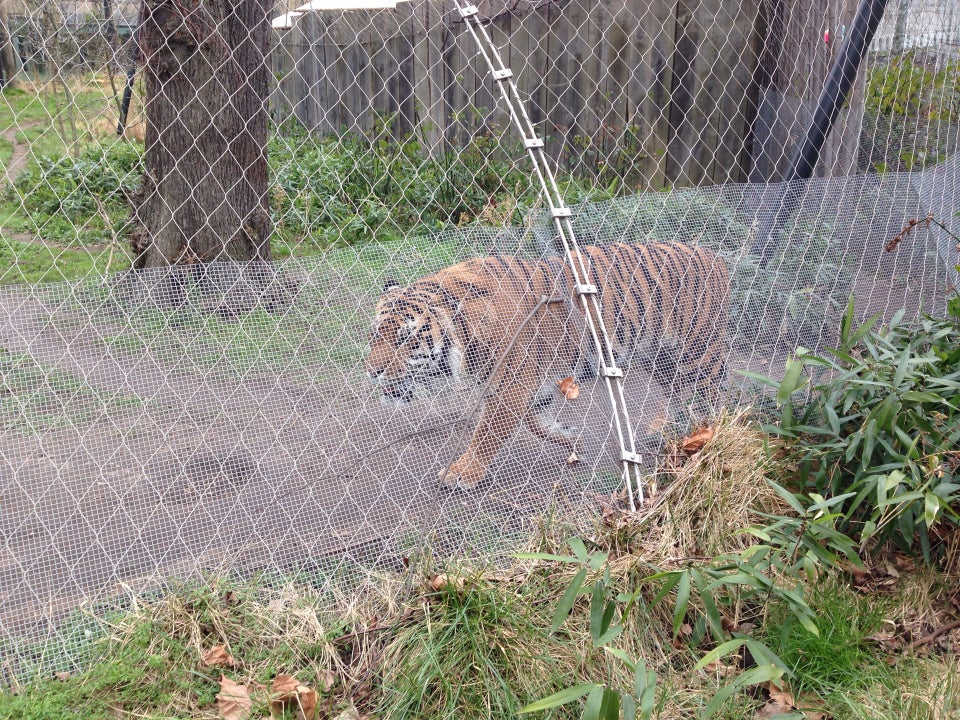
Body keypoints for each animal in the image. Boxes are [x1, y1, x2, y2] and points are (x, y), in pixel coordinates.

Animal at [366, 240, 728, 490]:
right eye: (374, 336)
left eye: (405, 339)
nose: (372, 373)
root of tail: (712, 255)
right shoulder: (522, 385)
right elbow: (536, 422)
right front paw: (570, 439)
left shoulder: (512, 383)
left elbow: (487, 434)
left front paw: (462, 474)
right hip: (663, 361)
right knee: (683, 399)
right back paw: (670, 434)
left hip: (697, 356)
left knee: (712, 399)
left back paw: (702, 442)